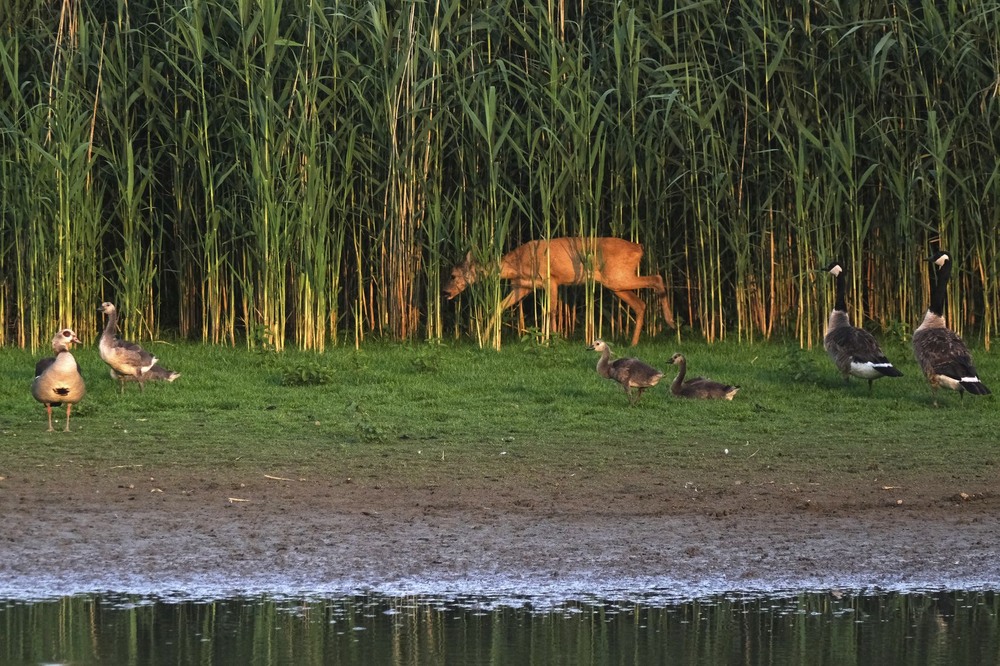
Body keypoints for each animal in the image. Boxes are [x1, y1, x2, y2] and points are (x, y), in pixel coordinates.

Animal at [444, 237, 672, 342]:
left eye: (453, 275)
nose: (445, 292)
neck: (516, 263)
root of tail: (639, 248)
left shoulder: (550, 279)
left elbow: (551, 310)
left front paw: (551, 339)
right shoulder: (522, 287)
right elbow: (498, 307)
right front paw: (484, 335)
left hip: (617, 277)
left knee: (657, 278)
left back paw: (670, 321)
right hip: (616, 283)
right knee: (641, 303)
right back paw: (634, 342)